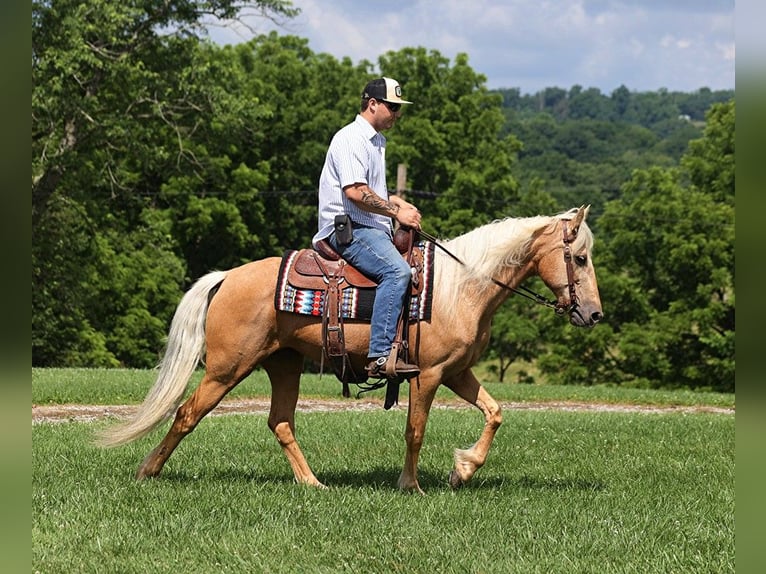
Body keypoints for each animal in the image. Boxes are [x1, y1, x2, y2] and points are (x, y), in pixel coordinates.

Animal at [98, 206, 602, 493]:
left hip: (284, 364)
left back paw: (313, 483)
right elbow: (415, 430)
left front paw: (463, 470)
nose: (594, 314)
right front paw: (411, 485)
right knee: (187, 413)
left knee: (280, 422)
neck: (460, 286)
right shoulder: (428, 374)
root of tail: (226, 277)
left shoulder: (457, 371)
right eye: (579, 257)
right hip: (227, 368)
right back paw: (148, 471)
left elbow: (495, 413)